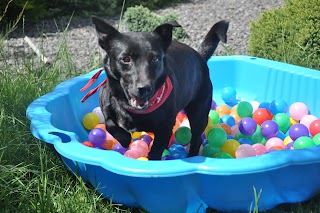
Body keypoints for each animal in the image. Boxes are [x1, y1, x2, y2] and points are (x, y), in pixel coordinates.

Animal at [91, 16, 229, 160]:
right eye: (126, 59)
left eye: (155, 59)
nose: (144, 88)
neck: (134, 111)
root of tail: (199, 55)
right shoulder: (106, 102)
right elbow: (109, 124)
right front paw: (125, 139)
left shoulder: (165, 128)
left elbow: (155, 152)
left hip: (199, 113)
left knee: (196, 139)